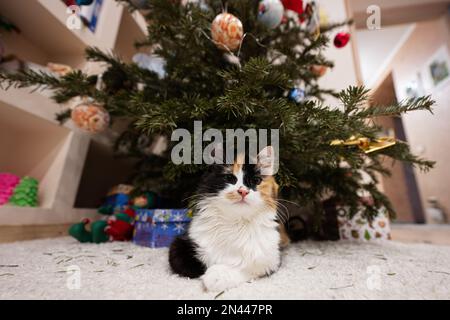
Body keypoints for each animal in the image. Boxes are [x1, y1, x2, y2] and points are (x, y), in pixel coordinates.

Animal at [169, 146, 288, 292]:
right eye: (230, 178)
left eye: (256, 181)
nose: (243, 191)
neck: (235, 223)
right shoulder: (181, 244)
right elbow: (191, 265)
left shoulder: (270, 259)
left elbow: (243, 267)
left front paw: (216, 276)